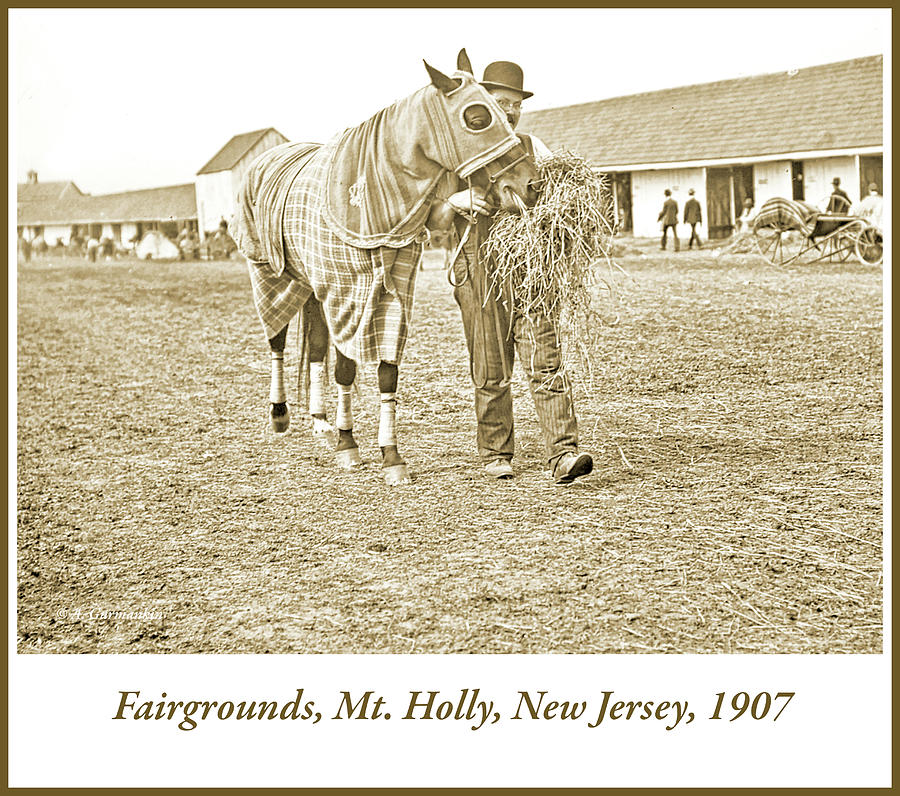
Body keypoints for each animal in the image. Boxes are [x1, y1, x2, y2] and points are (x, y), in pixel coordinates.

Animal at [234, 51, 540, 486]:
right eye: (478, 117)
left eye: (504, 112)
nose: (531, 184)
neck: (366, 193)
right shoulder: (344, 293)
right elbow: (346, 368)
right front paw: (348, 445)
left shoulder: (390, 293)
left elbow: (386, 371)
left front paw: (391, 457)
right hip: (270, 276)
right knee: (276, 337)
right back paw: (280, 415)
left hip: (310, 288)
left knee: (315, 347)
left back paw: (320, 420)